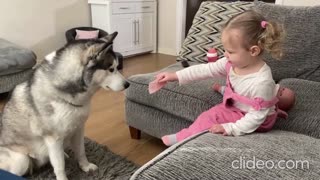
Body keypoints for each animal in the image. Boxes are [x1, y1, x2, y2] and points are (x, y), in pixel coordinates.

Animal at [0, 32, 130, 180]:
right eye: (111, 69)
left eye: (117, 67)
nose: (128, 84)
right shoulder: (54, 139)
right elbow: (59, 166)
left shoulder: (79, 129)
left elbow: (80, 151)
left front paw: (85, 166)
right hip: (21, 160)